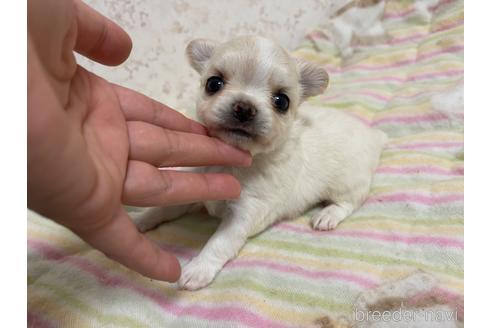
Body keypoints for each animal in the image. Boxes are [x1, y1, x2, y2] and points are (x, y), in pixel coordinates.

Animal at [132, 36, 388, 290]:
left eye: (282, 101)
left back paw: (327, 215)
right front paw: (140, 220)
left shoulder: (245, 213)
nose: (244, 107)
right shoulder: (196, 188)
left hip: (347, 181)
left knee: (349, 202)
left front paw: (198, 270)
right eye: (213, 84)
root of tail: (372, 136)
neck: (232, 164)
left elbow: (219, 243)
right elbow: (164, 208)